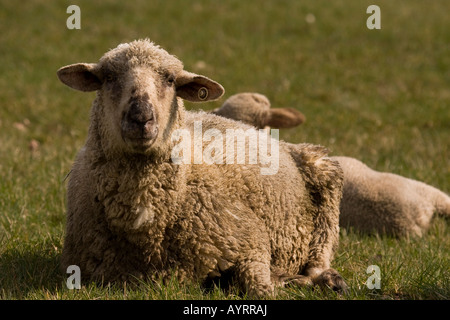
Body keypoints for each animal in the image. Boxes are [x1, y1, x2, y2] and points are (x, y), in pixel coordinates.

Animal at [56, 39, 344, 298]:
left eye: (171, 79)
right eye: (109, 77)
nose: (141, 117)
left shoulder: (250, 239)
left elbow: (261, 290)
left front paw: (280, 281)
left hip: (326, 180)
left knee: (320, 254)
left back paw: (326, 279)